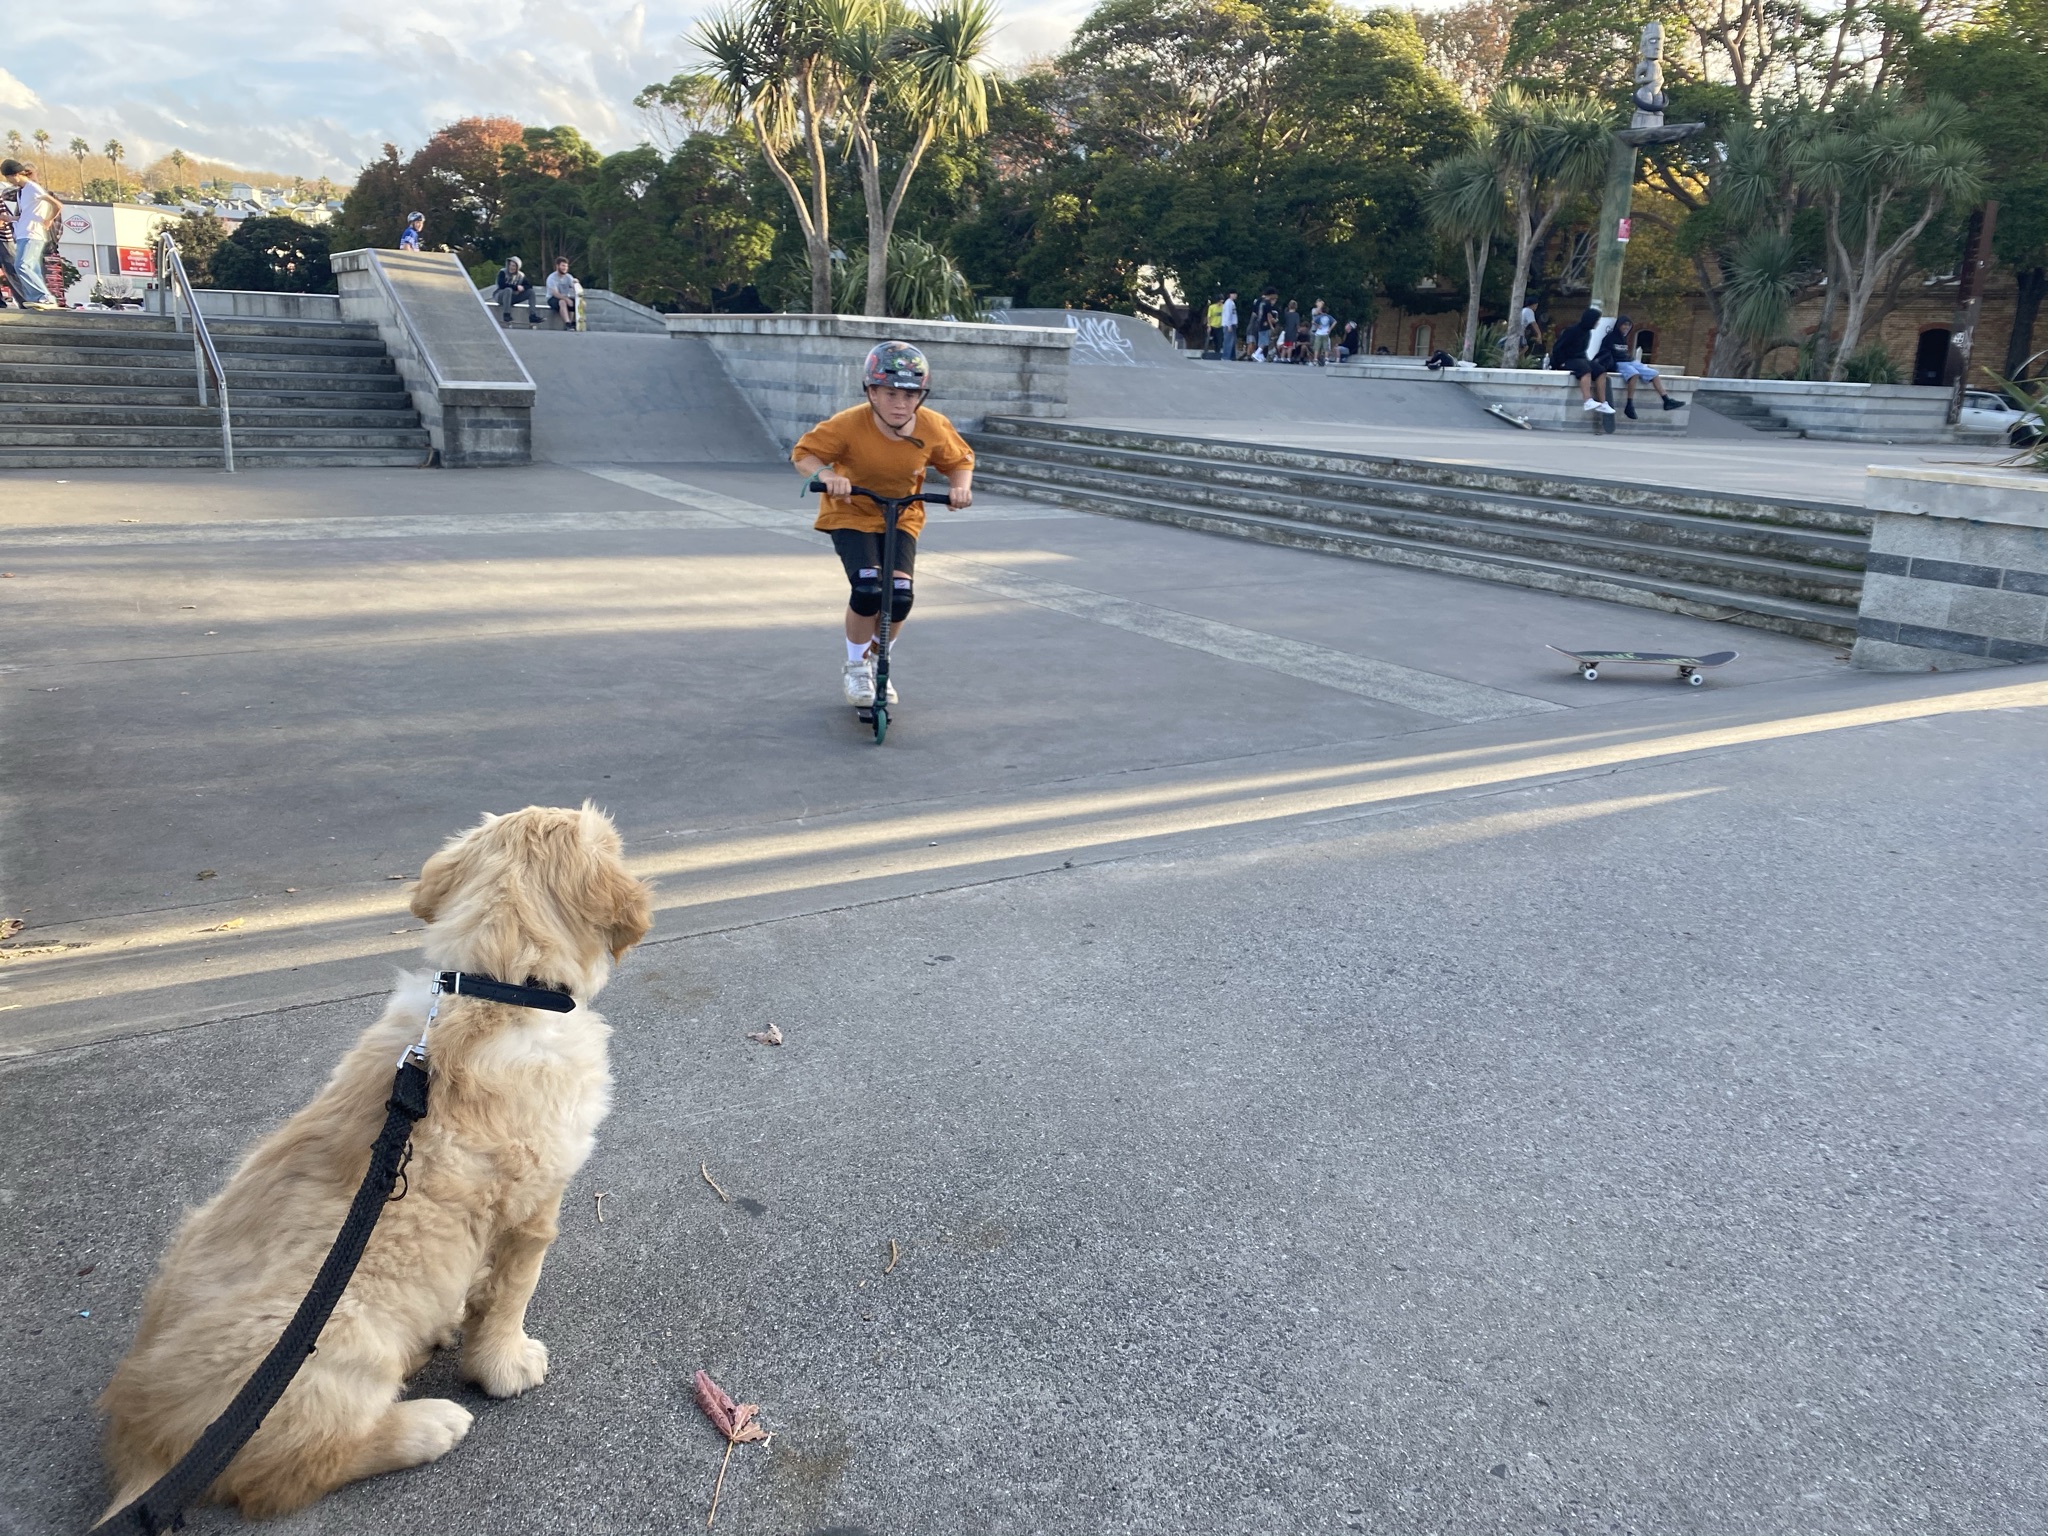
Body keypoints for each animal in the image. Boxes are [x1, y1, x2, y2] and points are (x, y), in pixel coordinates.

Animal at [97, 811, 647, 1523]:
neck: (497, 988)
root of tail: (141, 1442)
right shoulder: (533, 1202)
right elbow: (511, 1293)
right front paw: (504, 1365)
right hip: (339, 1345)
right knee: (295, 1473)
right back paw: (428, 1426)